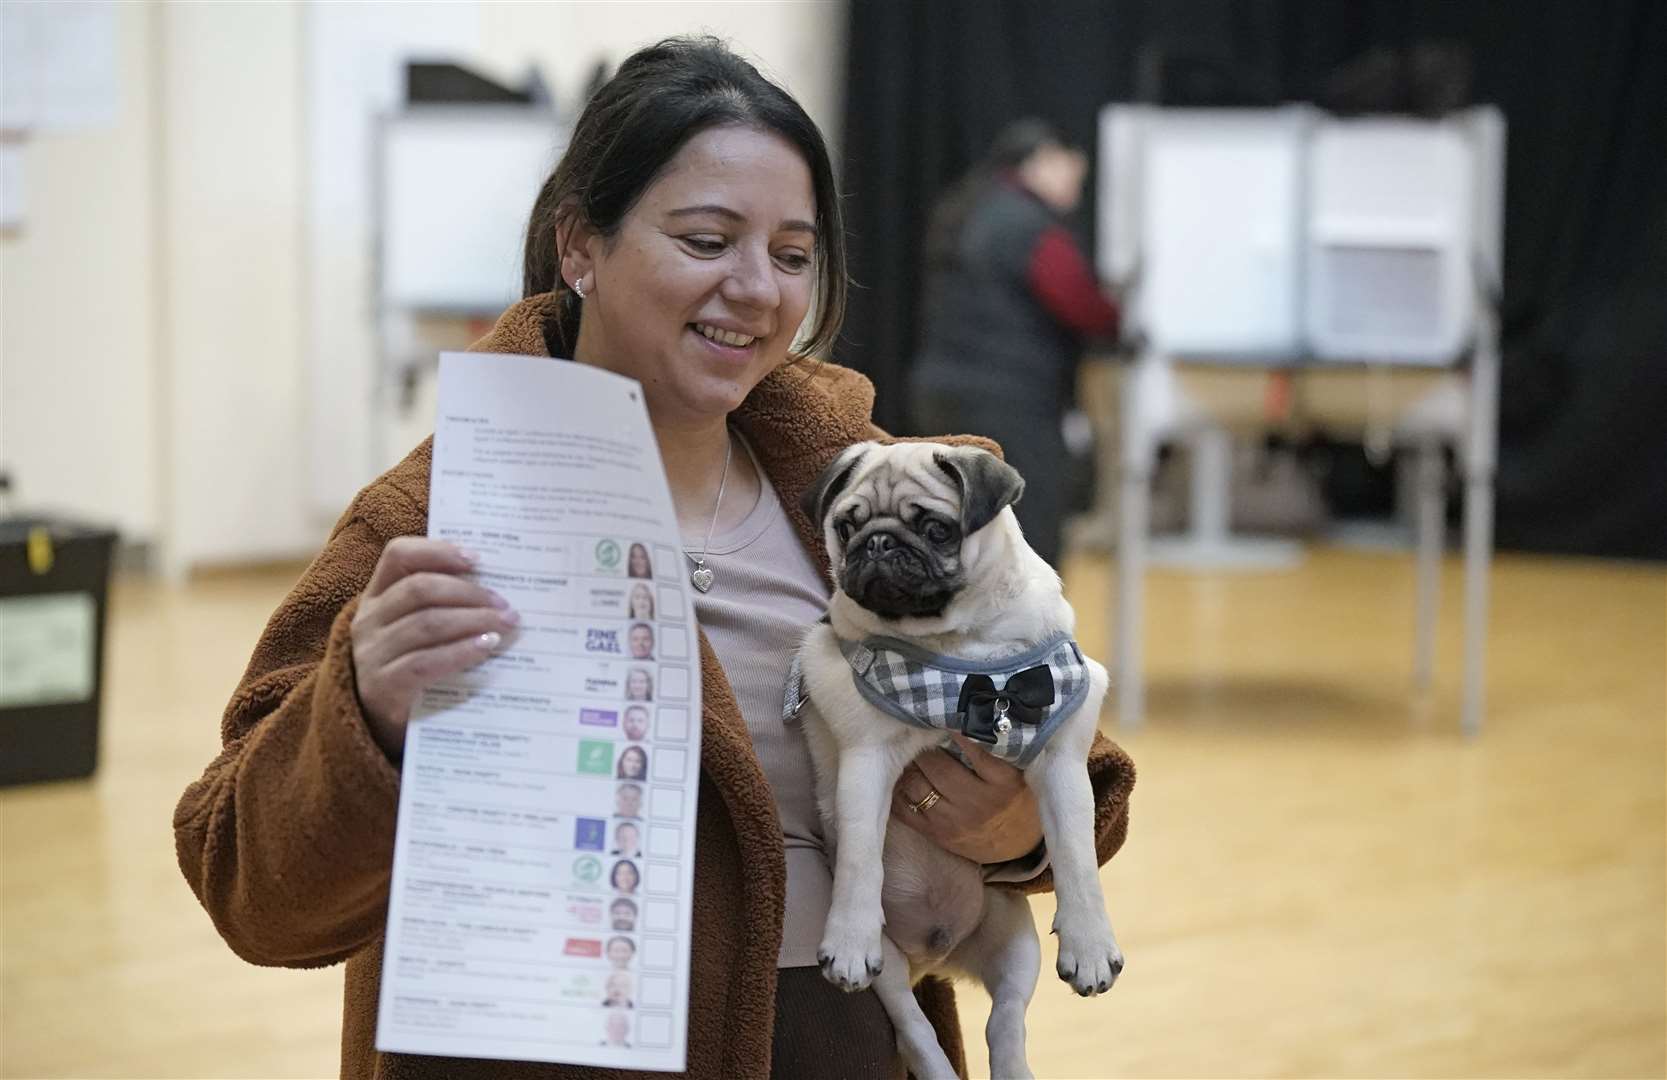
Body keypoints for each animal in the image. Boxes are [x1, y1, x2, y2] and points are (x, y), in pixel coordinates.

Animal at [790, 440, 1126, 1080]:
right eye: (847, 526)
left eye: (936, 529)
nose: (878, 543)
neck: (960, 648)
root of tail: (936, 957)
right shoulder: (865, 760)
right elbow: (861, 861)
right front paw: (847, 937)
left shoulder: (1062, 763)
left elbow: (1078, 862)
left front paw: (1091, 945)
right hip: (892, 975)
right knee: (916, 1031)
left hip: (1015, 941)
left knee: (1006, 1022)